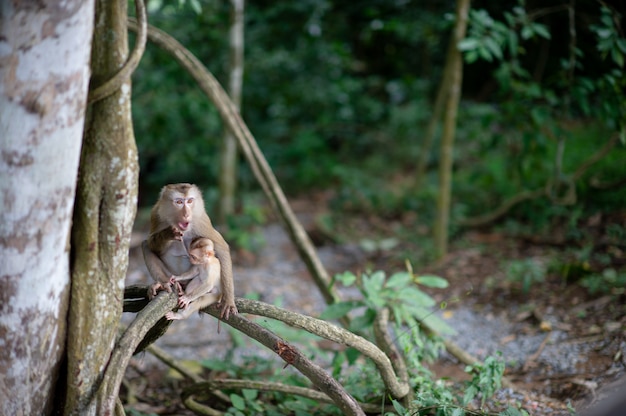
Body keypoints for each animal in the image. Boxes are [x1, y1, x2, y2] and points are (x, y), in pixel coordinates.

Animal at [141, 183, 236, 318]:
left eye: (190, 201)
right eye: (179, 202)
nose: (186, 214)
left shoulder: (201, 219)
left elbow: (221, 247)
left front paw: (228, 301)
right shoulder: (156, 214)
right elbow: (151, 244)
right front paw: (167, 234)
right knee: (145, 245)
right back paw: (163, 283)